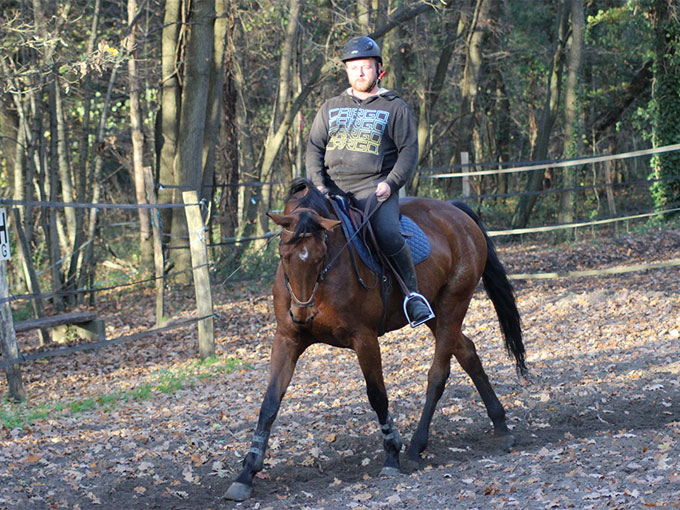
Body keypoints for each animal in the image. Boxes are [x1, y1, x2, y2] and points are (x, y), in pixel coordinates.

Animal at [226, 179, 528, 502]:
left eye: (320, 257)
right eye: (284, 257)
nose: (301, 314)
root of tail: (456, 212)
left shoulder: (364, 338)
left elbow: (377, 395)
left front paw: (392, 455)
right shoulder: (287, 339)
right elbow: (270, 403)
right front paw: (246, 474)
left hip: (453, 304)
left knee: (438, 373)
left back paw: (416, 447)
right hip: (434, 310)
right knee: (468, 352)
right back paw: (500, 426)